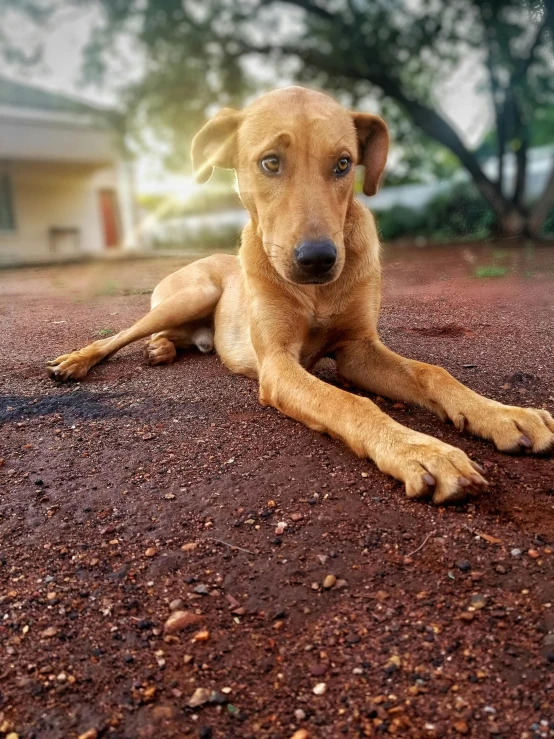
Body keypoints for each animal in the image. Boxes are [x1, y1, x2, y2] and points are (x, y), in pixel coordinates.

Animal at [46, 85, 552, 502]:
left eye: (344, 164)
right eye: (270, 161)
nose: (318, 260)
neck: (317, 295)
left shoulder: (358, 349)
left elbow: (434, 373)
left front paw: (505, 414)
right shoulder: (277, 366)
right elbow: (350, 401)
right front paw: (421, 451)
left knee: (170, 337)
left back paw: (163, 350)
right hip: (191, 294)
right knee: (119, 335)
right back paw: (77, 361)